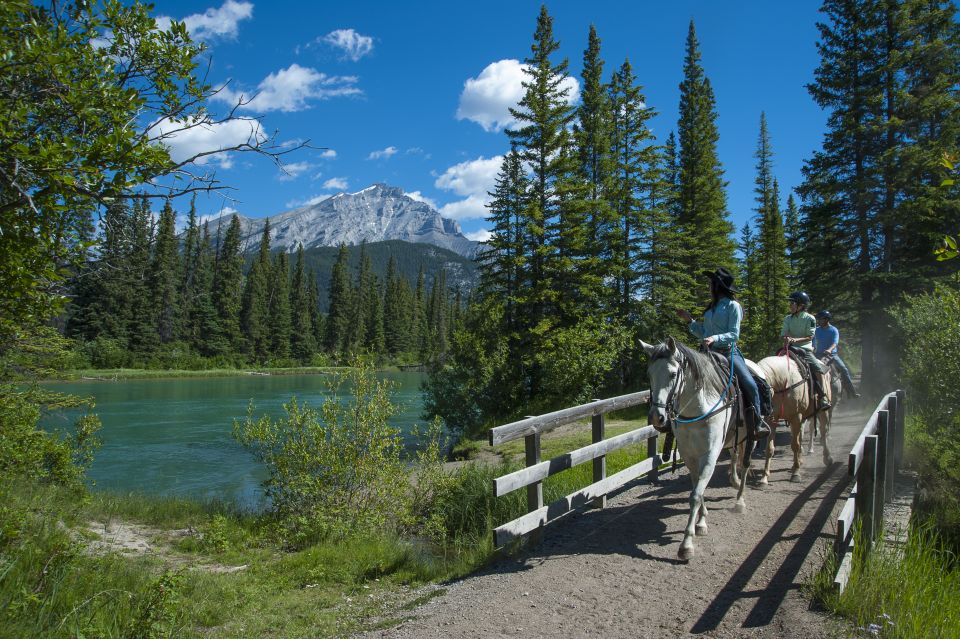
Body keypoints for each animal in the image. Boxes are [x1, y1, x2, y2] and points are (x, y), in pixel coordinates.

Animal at [640, 338, 752, 564]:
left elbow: (694, 495)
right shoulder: (689, 455)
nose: (657, 417)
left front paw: (686, 545)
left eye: (673, 374)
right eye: (649, 374)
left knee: (746, 464)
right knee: (737, 456)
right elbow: (698, 489)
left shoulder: (710, 455)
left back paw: (740, 501)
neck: (699, 410)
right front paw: (701, 522)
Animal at [752, 350, 832, 484]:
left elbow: (795, 445)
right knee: (800, 436)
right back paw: (798, 461)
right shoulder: (773, 419)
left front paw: (796, 474)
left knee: (823, 431)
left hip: (822, 412)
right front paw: (764, 478)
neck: (782, 383)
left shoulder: (796, 417)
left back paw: (827, 458)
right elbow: (769, 448)